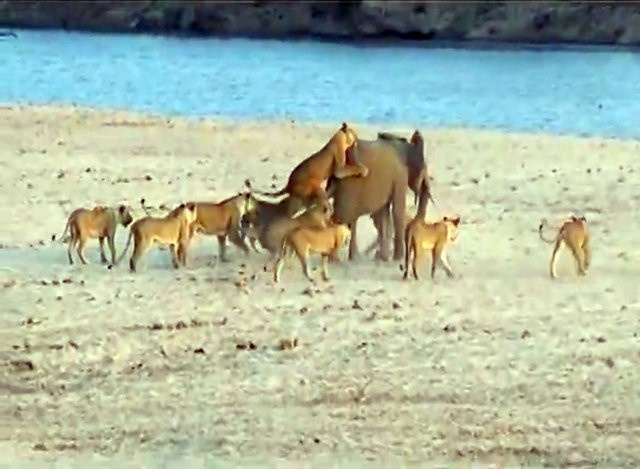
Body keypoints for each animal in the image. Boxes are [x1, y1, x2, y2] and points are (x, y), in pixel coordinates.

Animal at [328, 130, 432, 262]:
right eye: (424, 169)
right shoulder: (400, 176)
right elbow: (397, 210)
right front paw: (397, 259)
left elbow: (384, 213)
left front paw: (384, 258)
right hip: (348, 188)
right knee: (341, 218)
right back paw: (336, 260)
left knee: (350, 220)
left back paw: (353, 258)